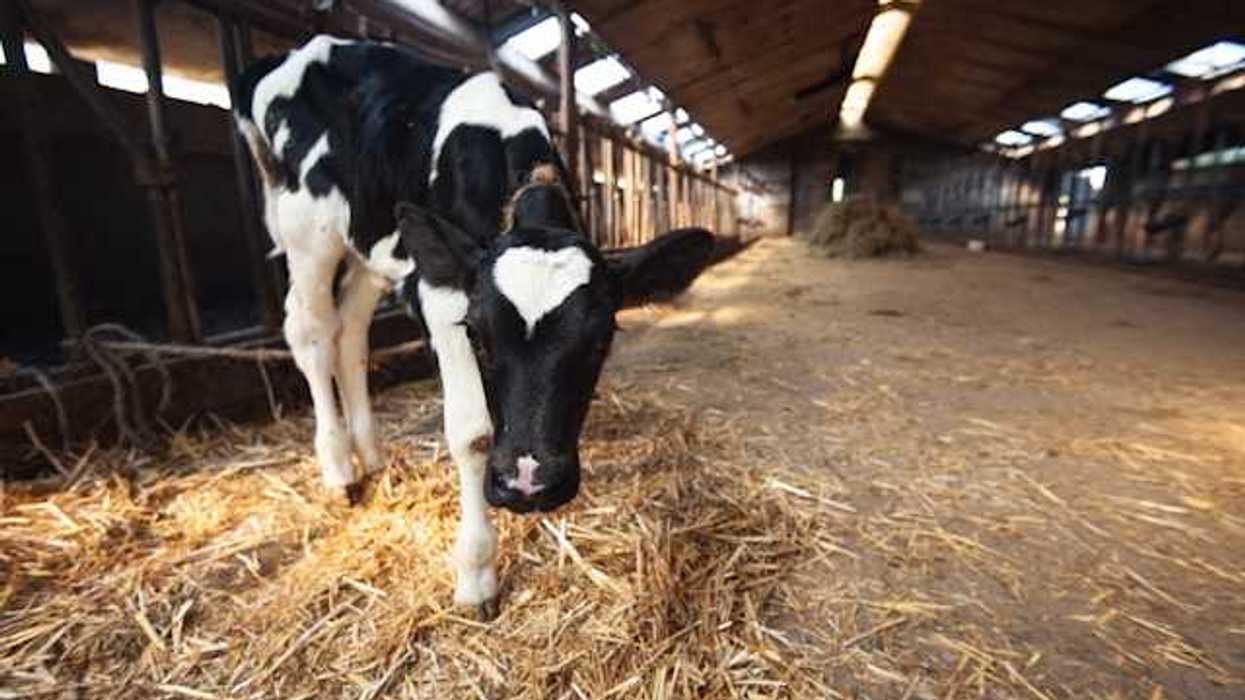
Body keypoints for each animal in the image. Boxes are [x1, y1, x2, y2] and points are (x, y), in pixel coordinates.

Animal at [233, 35, 714, 617]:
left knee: (351, 333)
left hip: (372, 244)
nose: (529, 483)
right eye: (477, 336)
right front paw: (477, 573)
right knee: (312, 332)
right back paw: (339, 468)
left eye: (601, 340)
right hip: (309, 228)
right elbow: (474, 434)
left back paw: (371, 454)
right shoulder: (443, 294)